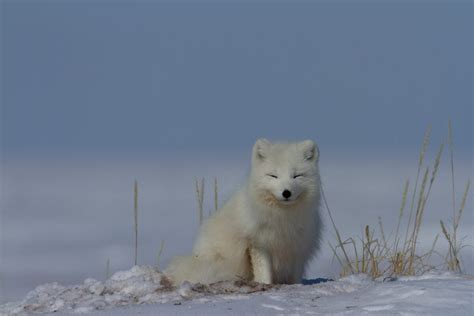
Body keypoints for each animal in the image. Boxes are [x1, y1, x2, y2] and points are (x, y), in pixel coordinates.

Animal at [165, 139, 324, 286]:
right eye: (273, 176)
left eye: (297, 176)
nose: (286, 193)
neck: (282, 218)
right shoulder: (258, 243)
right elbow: (263, 271)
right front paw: (265, 284)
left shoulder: (298, 245)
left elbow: (295, 275)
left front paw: (296, 285)